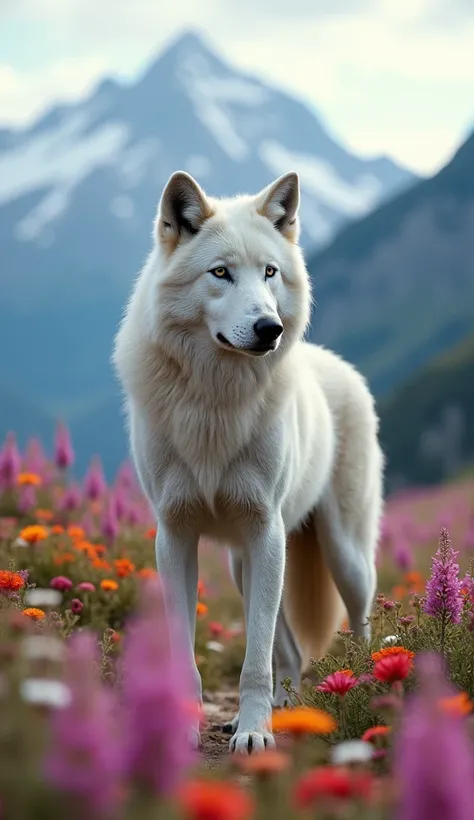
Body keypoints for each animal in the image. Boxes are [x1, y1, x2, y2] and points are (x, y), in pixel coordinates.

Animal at [112, 171, 386, 756]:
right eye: (221, 273)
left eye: (269, 272)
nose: (269, 328)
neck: (214, 401)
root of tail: (338, 364)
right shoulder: (175, 536)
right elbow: (190, 655)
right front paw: (190, 730)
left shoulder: (265, 530)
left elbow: (253, 660)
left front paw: (255, 734)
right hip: (249, 564)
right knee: (291, 651)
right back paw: (284, 708)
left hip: (339, 555)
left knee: (359, 623)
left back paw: (370, 687)